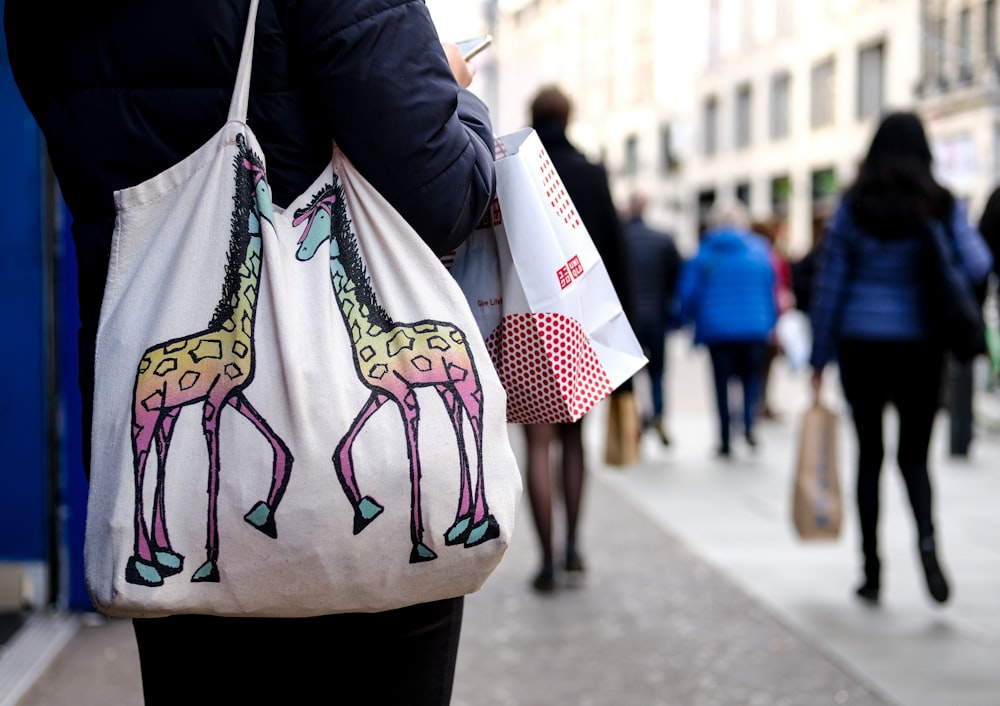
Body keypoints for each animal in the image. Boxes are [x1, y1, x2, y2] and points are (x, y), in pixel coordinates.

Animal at [125, 136, 292, 584]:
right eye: (258, 177)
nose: (271, 209)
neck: (235, 323)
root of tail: (142, 362)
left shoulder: (234, 394)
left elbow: (281, 446)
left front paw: (262, 514)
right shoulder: (214, 403)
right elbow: (214, 470)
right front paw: (211, 562)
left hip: (169, 412)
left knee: (162, 459)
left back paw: (165, 554)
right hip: (143, 413)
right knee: (139, 463)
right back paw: (144, 564)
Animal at [292, 177, 500, 560]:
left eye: (320, 214)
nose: (301, 251)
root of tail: (461, 332)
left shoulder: (405, 396)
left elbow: (413, 465)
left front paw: (418, 543)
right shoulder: (380, 392)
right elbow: (342, 446)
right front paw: (365, 511)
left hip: (467, 380)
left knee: (477, 423)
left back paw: (479, 526)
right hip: (445, 386)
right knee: (459, 427)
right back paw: (461, 524)